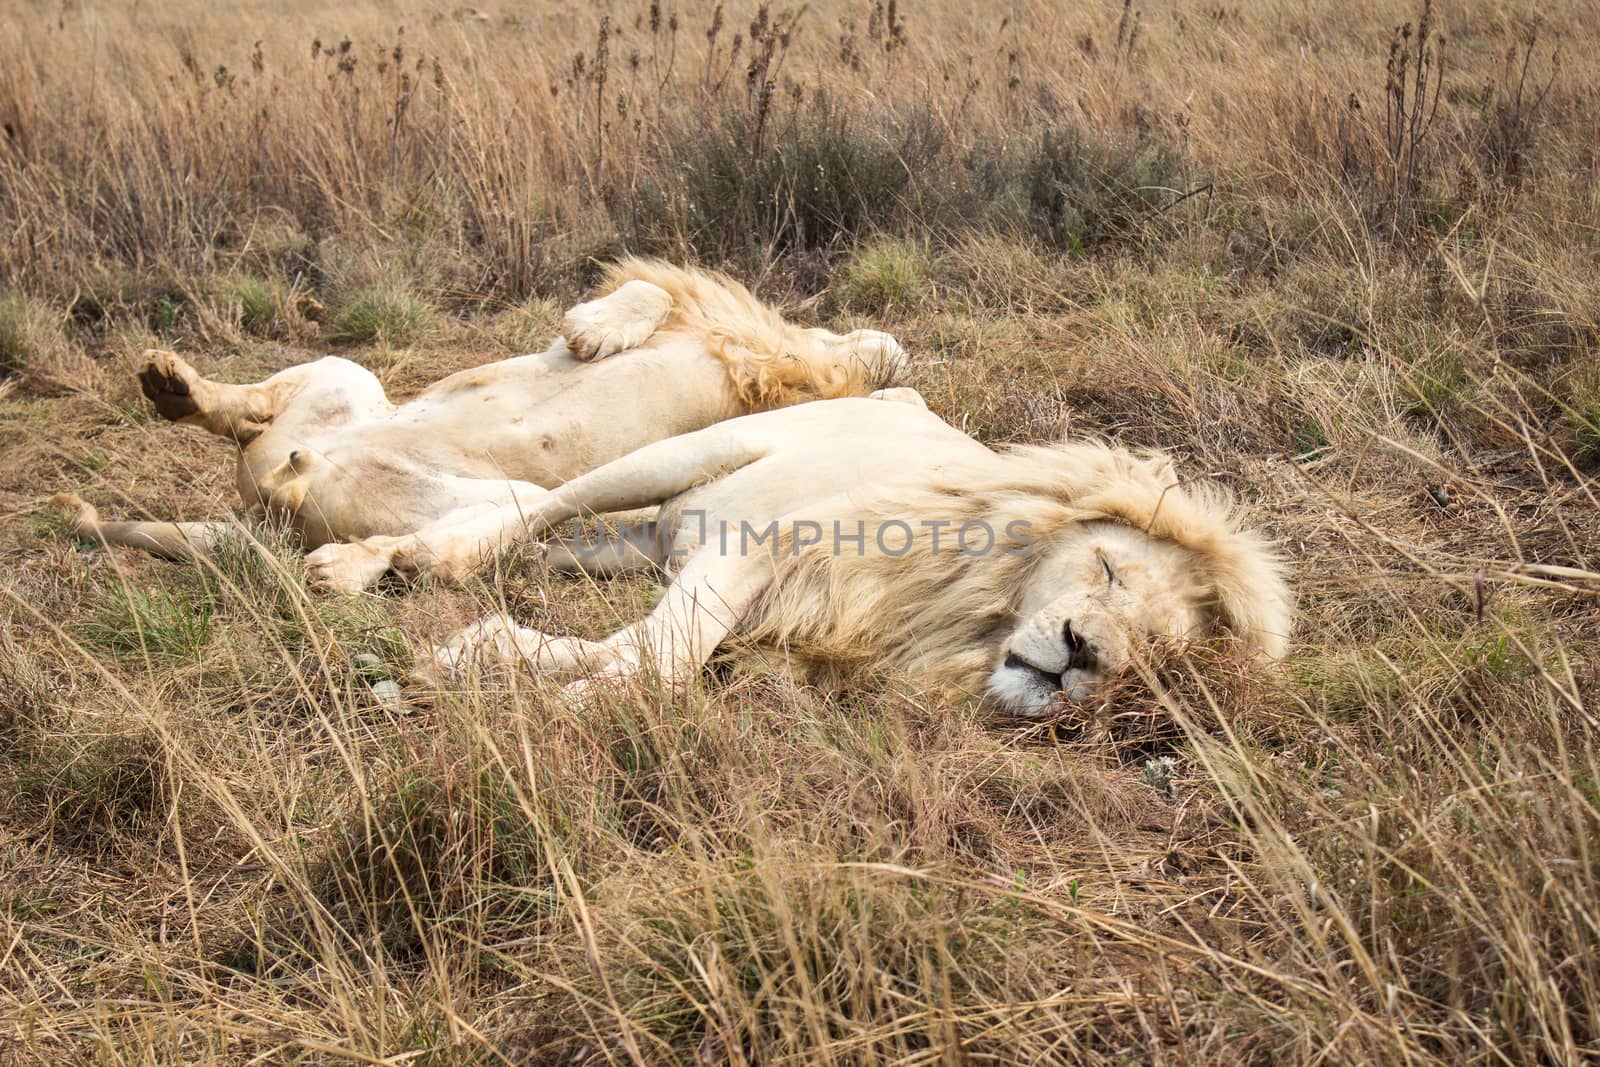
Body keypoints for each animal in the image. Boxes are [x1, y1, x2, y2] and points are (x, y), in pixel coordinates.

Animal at [53, 259, 902, 566]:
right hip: (343, 374)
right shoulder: (691, 312)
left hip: (474, 491)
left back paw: (350, 567)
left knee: (428, 545)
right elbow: (644, 294)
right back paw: (172, 385)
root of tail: (272, 503)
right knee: (244, 408)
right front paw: (594, 331)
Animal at [312, 388, 1299, 713]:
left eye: (1157, 653)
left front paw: (501, 659)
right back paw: (372, 565)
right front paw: (510, 672)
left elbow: (642, 650)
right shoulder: (763, 546)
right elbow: (663, 654)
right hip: (686, 456)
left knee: (554, 537)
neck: (967, 615)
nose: (1085, 653)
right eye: (1106, 568)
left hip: (633, 545)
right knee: (534, 503)